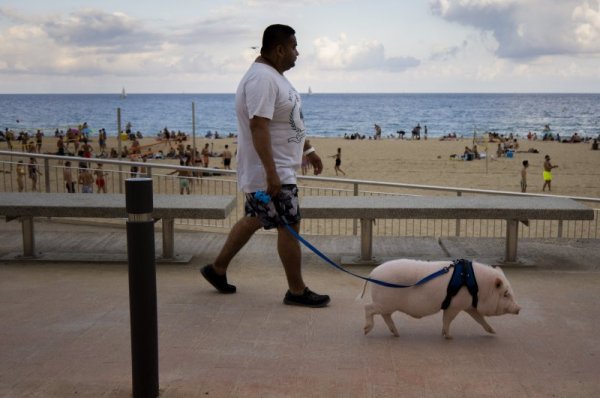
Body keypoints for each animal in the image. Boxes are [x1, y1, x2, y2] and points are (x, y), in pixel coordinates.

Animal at [360, 258, 520, 338]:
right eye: (506, 293)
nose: (519, 308)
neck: (478, 286)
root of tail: (373, 273)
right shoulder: (455, 305)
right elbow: (448, 319)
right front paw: (448, 336)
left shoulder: (469, 306)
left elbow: (480, 319)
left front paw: (493, 332)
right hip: (384, 302)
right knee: (368, 307)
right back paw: (366, 331)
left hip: (387, 304)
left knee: (385, 316)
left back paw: (397, 334)